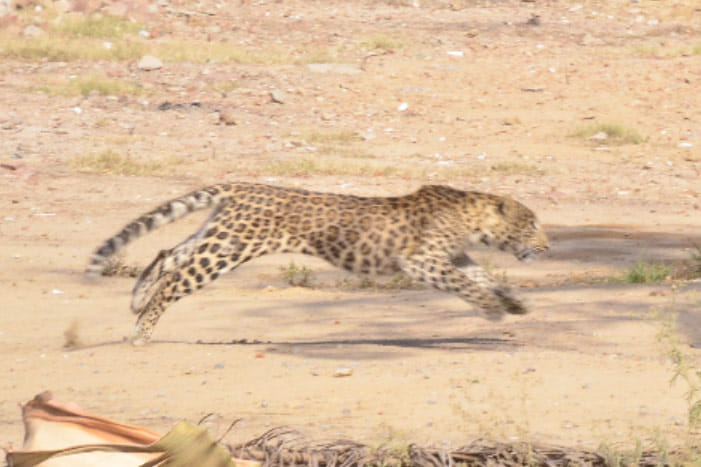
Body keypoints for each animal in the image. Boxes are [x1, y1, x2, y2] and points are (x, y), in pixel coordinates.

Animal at [87, 183, 549, 345]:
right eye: (531, 224)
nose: (546, 246)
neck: (473, 218)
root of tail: (238, 187)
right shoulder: (423, 261)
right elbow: (468, 284)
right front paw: (491, 309)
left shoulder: (453, 257)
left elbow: (482, 277)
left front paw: (513, 303)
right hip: (227, 250)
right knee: (175, 277)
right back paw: (141, 330)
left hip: (216, 239)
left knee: (168, 255)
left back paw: (137, 302)